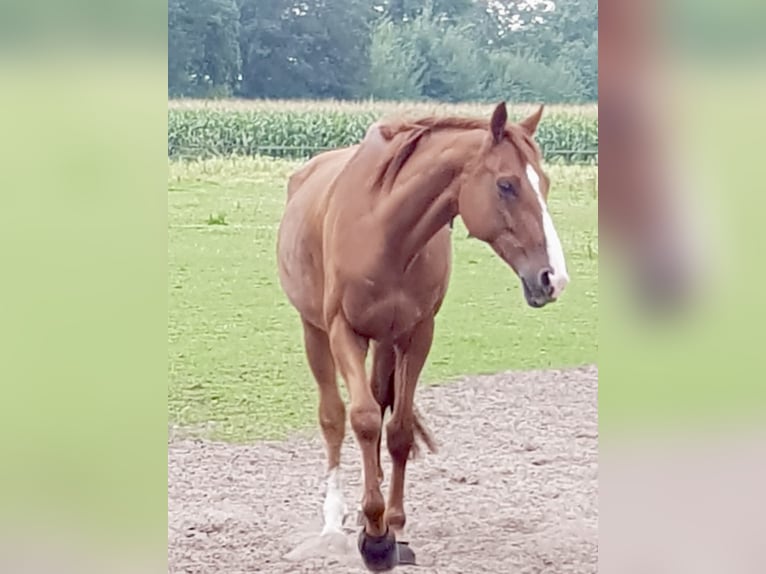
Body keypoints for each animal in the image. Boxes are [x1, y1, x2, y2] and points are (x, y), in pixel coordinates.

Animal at [276, 102, 569, 571]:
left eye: (544, 183)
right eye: (506, 184)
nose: (553, 279)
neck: (384, 230)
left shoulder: (417, 334)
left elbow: (397, 430)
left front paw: (391, 528)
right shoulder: (344, 331)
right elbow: (361, 419)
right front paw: (374, 540)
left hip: (384, 343)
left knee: (381, 404)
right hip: (315, 332)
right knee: (334, 417)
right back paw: (334, 522)